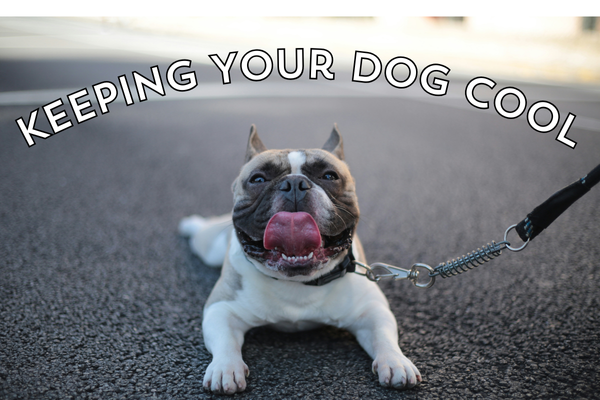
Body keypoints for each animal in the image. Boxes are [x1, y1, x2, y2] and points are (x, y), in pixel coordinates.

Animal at [179, 125, 422, 394]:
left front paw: (396, 361)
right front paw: (225, 368)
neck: (298, 282)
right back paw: (190, 224)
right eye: (258, 179)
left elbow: (384, 335)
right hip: (210, 248)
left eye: (330, 176)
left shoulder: (371, 310)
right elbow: (224, 340)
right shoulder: (221, 308)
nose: (294, 183)